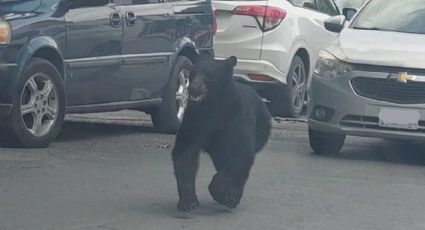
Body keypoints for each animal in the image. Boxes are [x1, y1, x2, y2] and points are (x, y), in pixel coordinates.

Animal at [171, 55, 270, 212]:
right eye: (193, 73)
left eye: (209, 75)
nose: (192, 87)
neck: (213, 105)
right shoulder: (195, 119)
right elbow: (185, 152)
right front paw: (189, 202)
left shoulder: (236, 118)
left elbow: (241, 152)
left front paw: (220, 192)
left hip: (261, 130)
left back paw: (234, 196)